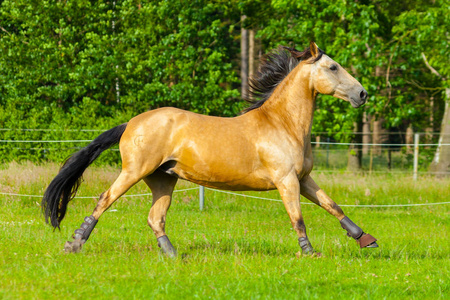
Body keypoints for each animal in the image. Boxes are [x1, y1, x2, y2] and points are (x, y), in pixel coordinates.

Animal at [43, 41, 380, 258]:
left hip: (163, 179)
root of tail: (130, 123)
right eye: (333, 67)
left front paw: (366, 240)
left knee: (155, 218)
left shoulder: (304, 178)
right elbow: (297, 217)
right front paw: (310, 253)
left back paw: (173, 255)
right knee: (104, 200)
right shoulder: (286, 181)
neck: (282, 124)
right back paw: (74, 244)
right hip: (134, 171)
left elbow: (332, 205)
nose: (362, 94)